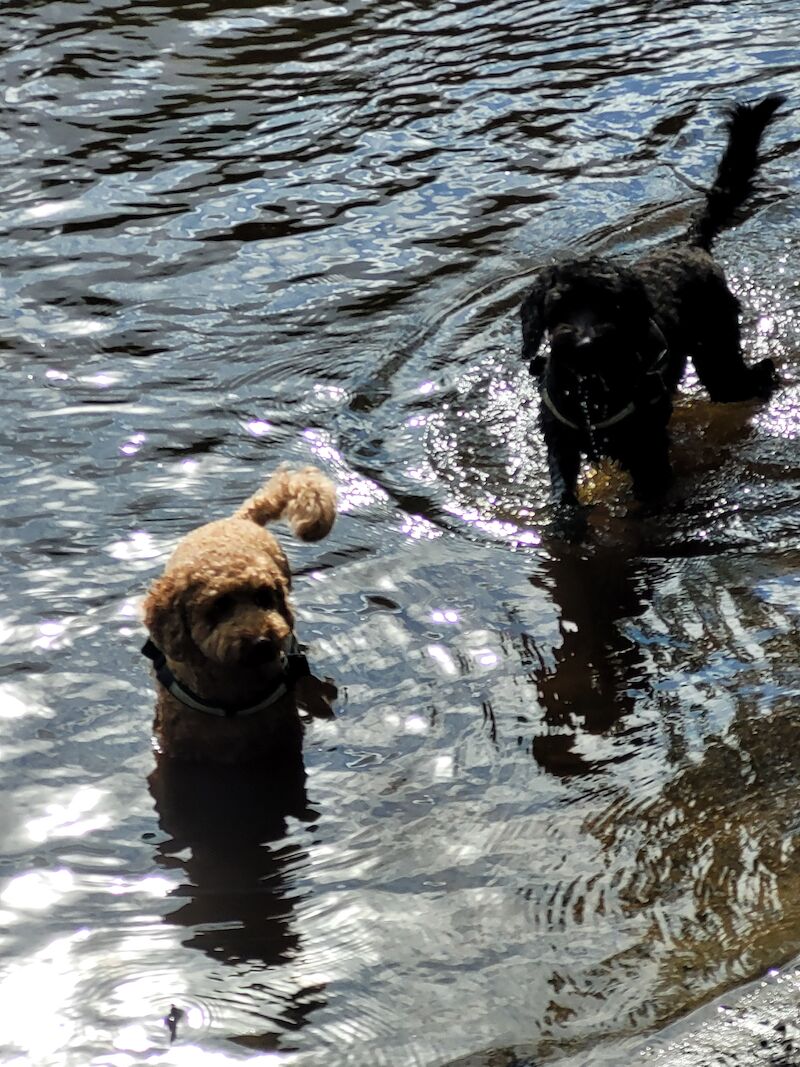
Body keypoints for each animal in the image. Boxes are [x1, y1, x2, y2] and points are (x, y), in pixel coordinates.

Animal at [142, 469, 337, 768]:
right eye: (219, 605)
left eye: (264, 598)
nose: (262, 642)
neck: (232, 696)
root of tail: (238, 520)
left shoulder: (283, 742)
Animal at [522, 93, 785, 510]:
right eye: (559, 306)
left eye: (609, 305)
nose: (584, 343)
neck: (591, 389)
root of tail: (690, 244)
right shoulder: (561, 444)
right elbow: (564, 492)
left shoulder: (646, 448)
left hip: (718, 357)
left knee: (751, 378)